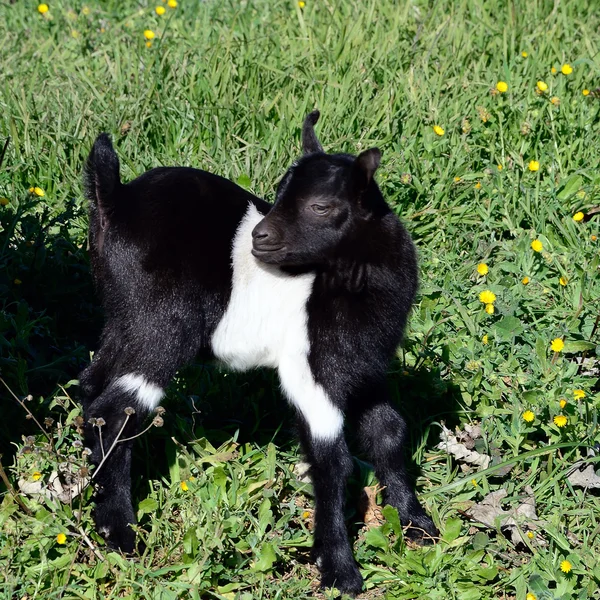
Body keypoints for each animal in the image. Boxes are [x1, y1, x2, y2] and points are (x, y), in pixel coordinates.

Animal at [79, 112, 438, 596]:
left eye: (321, 206)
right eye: (280, 193)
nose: (258, 236)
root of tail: (114, 199)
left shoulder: (362, 367)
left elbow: (389, 431)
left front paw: (417, 524)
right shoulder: (309, 368)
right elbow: (332, 460)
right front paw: (340, 569)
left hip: (124, 318)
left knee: (93, 386)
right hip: (162, 324)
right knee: (117, 409)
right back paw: (120, 531)